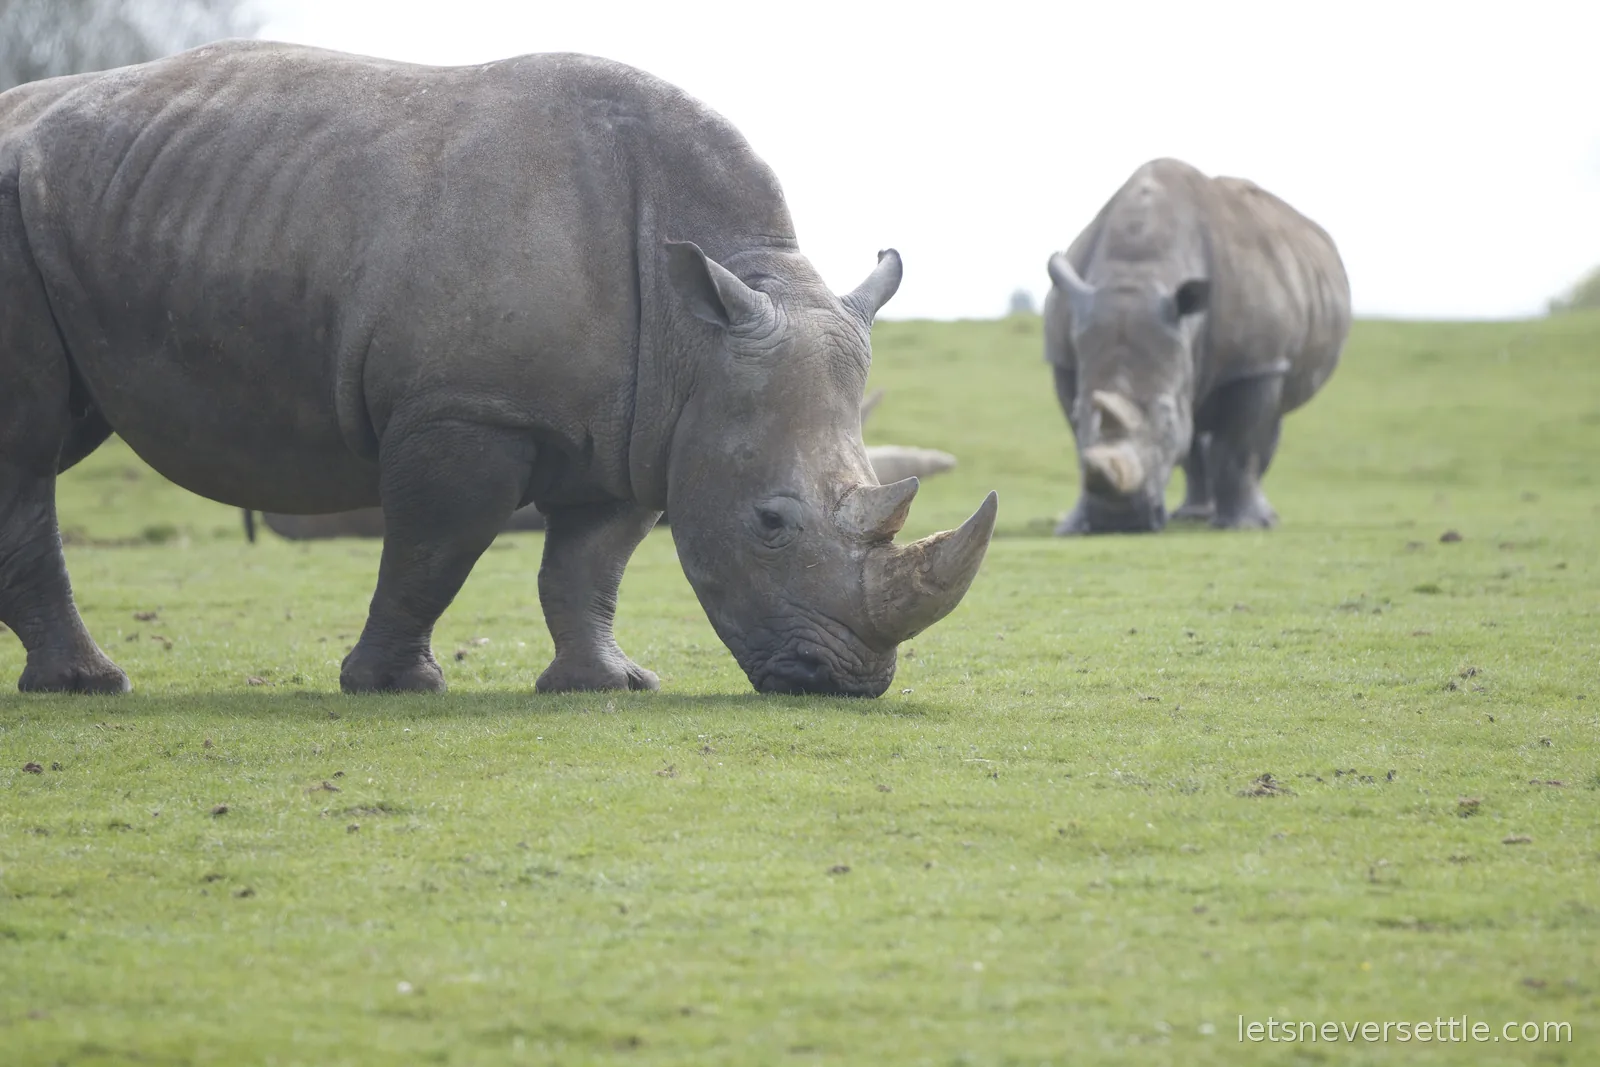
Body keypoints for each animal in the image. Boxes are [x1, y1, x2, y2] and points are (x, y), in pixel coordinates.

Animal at [0, 41, 997, 696]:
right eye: (772, 522)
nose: (850, 680)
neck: (702, 323)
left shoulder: (649, 422)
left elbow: (589, 563)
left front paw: (607, 684)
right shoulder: (468, 408)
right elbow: (433, 548)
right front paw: (396, 686)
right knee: (30, 448)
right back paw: (89, 685)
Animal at [1044, 158, 1350, 533]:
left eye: (1165, 418)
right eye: (1079, 413)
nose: (1118, 521)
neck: (1137, 275)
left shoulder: (1255, 363)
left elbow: (1238, 445)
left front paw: (1244, 527)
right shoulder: (1063, 358)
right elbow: (1080, 439)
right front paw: (1074, 527)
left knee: (1266, 419)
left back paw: (1255, 518)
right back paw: (1194, 515)